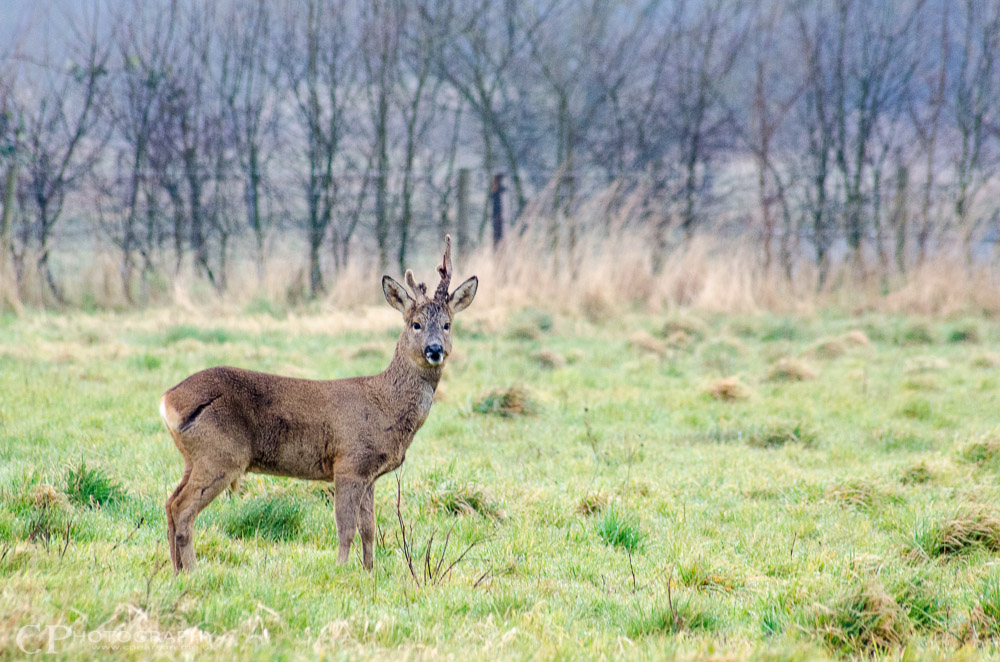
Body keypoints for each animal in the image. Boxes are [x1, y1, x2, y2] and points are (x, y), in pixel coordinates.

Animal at [158, 239, 478, 576]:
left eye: (447, 324)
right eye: (416, 324)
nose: (434, 350)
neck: (385, 405)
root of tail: (167, 400)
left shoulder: (369, 474)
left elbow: (368, 528)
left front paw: (369, 572)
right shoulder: (349, 462)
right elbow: (346, 527)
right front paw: (341, 570)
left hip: (194, 457)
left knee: (169, 503)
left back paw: (176, 570)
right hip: (220, 454)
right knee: (182, 508)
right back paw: (192, 570)